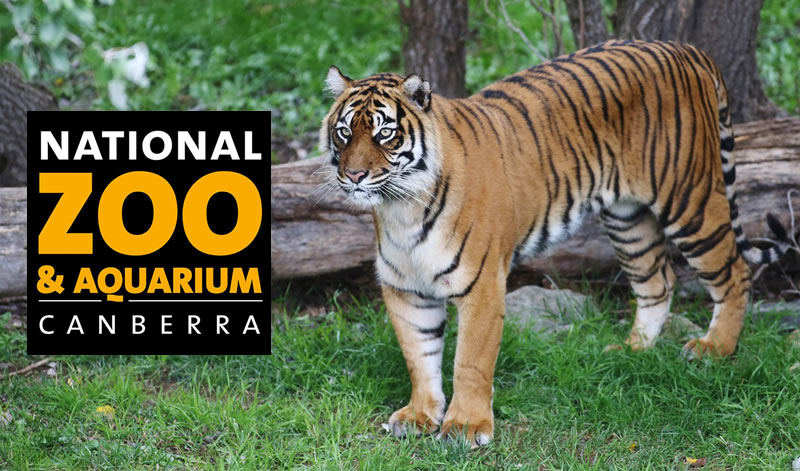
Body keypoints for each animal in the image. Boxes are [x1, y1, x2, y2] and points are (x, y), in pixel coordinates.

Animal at [318, 39, 788, 446]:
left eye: (384, 134)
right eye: (344, 133)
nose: (354, 175)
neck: (401, 208)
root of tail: (685, 49)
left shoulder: (482, 286)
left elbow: (470, 361)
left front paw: (466, 427)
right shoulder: (405, 288)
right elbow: (420, 357)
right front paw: (420, 415)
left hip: (690, 199)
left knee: (734, 272)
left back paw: (714, 349)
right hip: (628, 219)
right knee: (659, 281)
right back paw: (633, 350)